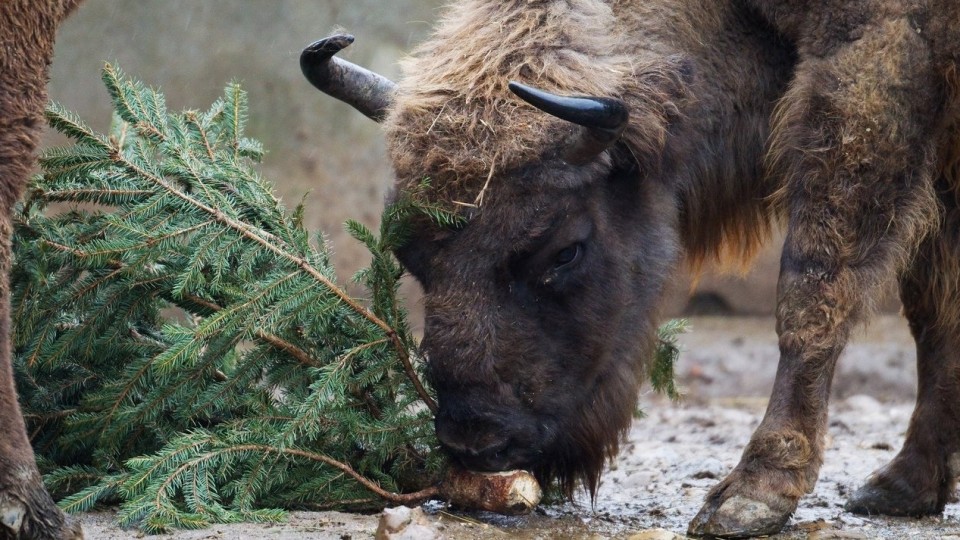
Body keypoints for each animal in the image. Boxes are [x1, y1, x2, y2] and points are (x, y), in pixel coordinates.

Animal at [300, 0, 960, 536]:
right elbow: (936, 314)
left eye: (564, 251)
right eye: (408, 256)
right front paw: (905, 487)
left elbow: (815, 289)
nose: (476, 439)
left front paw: (751, 497)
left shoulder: (871, 63)